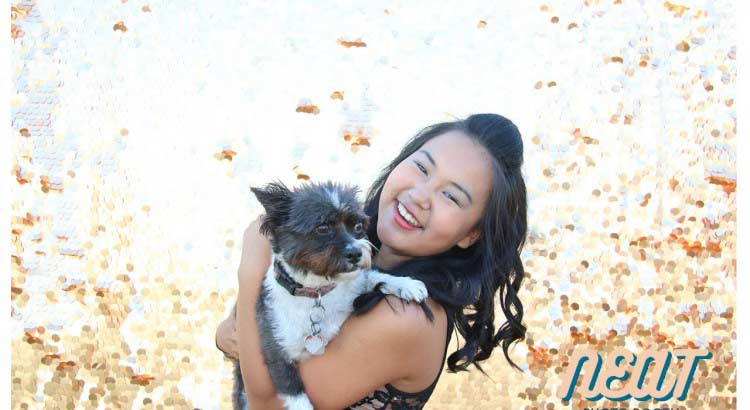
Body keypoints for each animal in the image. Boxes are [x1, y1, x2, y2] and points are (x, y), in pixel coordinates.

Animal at [229, 180, 428, 410]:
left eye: (358, 226)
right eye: (323, 228)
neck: (317, 294)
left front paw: (406, 284)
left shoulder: (353, 286)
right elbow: (295, 393)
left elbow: (370, 276)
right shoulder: (277, 352)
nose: (356, 253)